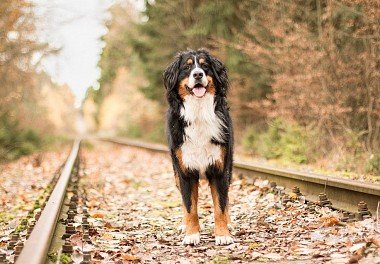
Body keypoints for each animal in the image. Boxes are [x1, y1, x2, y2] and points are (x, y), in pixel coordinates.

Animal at [164, 49, 233, 245]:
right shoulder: (185, 171)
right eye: (187, 67)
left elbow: (220, 205)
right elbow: (190, 207)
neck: (199, 112)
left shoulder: (219, 168)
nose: (197, 74)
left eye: (205, 66)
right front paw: (192, 234)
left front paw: (223, 234)